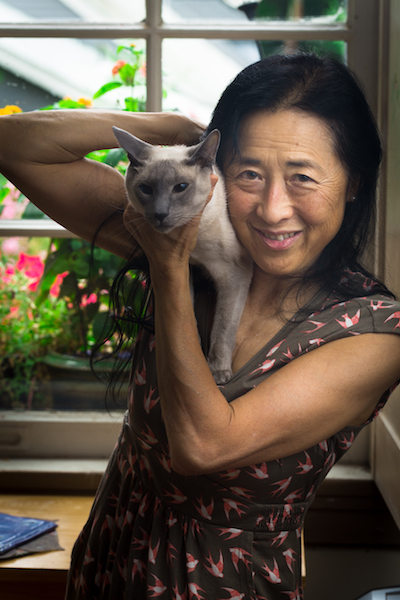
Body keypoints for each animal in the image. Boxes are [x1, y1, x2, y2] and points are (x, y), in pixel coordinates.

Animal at [112, 126, 253, 384]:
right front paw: (194, 351)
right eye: (146, 189)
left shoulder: (235, 274)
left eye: (180, 187)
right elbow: (189, 318)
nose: (160, 214)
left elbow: (223, 327)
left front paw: (217, 372)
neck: (195, 246)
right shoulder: (183, 270)